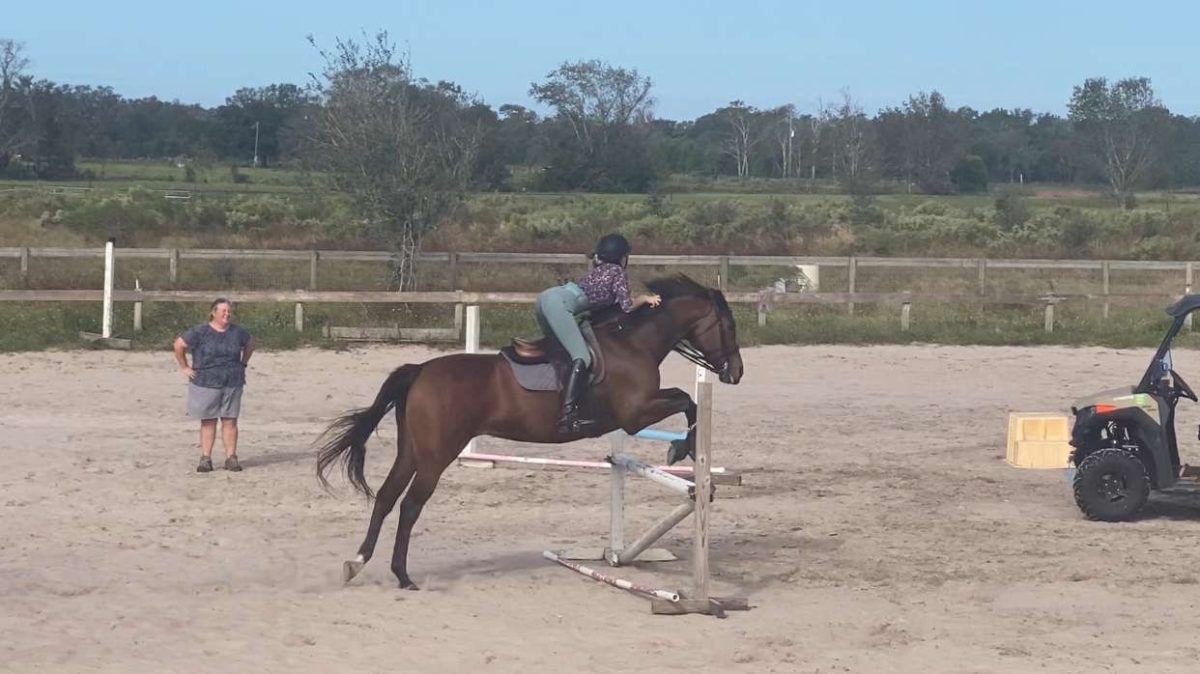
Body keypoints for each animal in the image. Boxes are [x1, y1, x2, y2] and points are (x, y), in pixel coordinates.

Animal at [316, 273, 748, 587]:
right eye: (727, 325)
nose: (736, 373)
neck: (634, 343)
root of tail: (420, 370)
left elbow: (686, 401)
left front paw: (682, 448)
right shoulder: (635, 415)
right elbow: (687, 401)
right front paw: (681, 449)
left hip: (412, 450)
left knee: (386, 497)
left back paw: (358, 562)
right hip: (437, 455)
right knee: (408, 505)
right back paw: (402, 576)